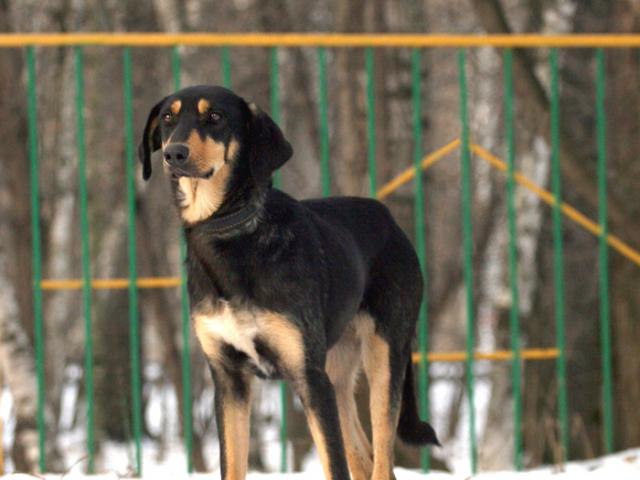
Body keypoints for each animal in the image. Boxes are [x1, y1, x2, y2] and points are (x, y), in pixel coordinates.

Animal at [139, 86, 440, 480]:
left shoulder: (308, 378)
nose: (174, 153)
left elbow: (334, 467)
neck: (232, 235)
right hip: (336, 370)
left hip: (384, 355)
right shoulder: (229, 380)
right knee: (364, 457)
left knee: (381, 461)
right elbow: (232, 466)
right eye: (168, 118)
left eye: (215, 117)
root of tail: (389, 219)